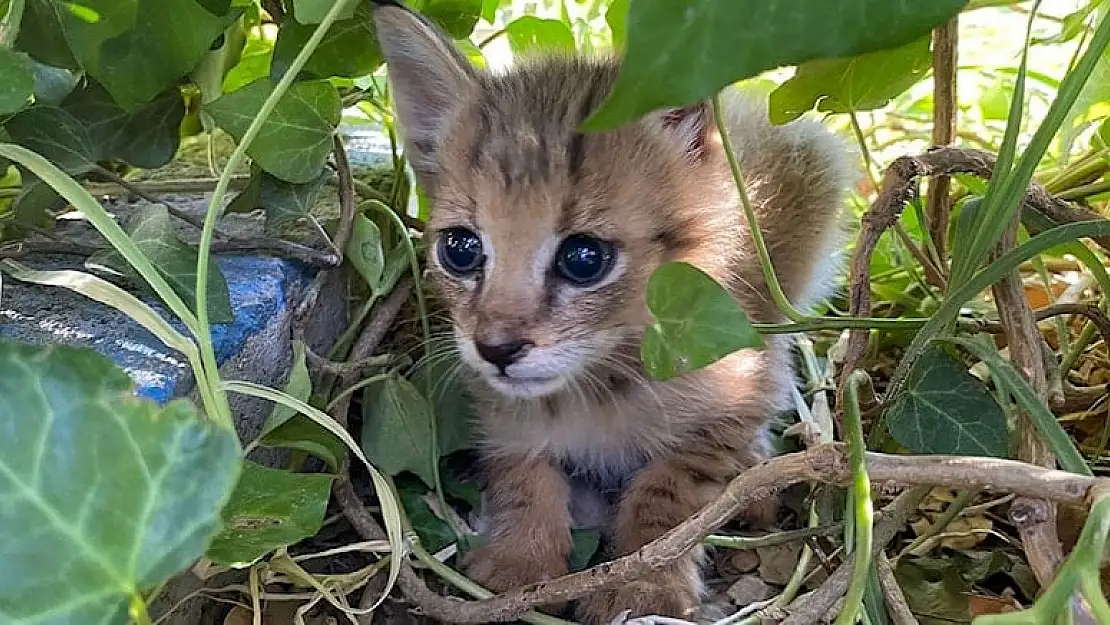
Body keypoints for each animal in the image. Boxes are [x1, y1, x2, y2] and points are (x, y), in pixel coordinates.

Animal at [372, 3, 856, 621]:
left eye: (584, 259)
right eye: (459, 249)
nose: (496, 348)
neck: (597, 383)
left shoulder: (731, 393)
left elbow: (672, 493)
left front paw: (644, 583)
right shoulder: (500, 410)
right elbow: (520, 470)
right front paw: (521, 558)